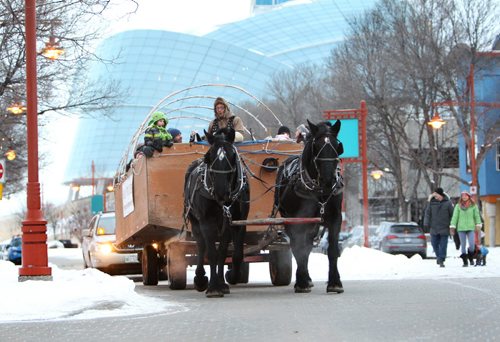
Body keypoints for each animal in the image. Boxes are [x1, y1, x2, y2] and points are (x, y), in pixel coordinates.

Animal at [183, 127, 249, 296]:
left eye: (232, 155)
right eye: (209, 157)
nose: (221, 192)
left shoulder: (235, 221)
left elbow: (227, 253)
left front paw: (227, 279)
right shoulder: (207, 222)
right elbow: (211, 253)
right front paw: (213, 287)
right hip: (195, 220)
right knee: (201, 245)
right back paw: (200, 278)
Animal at [274, 120, 344, 294]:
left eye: (336, 145)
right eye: (316, 146)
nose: (328, 180)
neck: (320, 191)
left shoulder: (335, 218)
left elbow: (332, 250)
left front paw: (335, 282)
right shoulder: (297, 221)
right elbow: (299, 250)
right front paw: (302, 282)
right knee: (299, 248)